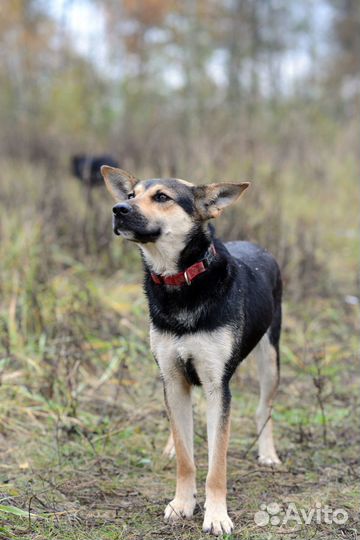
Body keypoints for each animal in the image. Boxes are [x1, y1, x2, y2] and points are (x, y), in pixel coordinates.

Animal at [100, 167, 282, 536]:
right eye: (131, 196)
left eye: (161, 197)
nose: (117, 209)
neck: (179, 281)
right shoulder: (172, 378)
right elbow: (187, 457)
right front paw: (182, 503)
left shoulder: (217, 385)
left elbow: (217, 464)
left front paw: (217, 516)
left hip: (270, 359)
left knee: (264, 408)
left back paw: (267, 453)